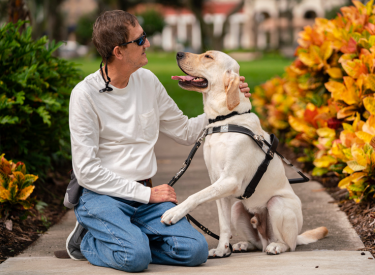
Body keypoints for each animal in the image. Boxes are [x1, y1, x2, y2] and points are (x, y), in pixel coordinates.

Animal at [162, 50, 328, 258]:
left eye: (208, 56)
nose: (178, 53)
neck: (224, 120)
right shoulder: (218, 183)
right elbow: (224, 225)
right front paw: (222, 249)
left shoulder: (230, 180)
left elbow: (195, 196)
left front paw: (174, 212)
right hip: (237, 208)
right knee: (258, 243)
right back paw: (243, 245)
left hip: (277, 204)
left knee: (287, 244)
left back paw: (277, 246)